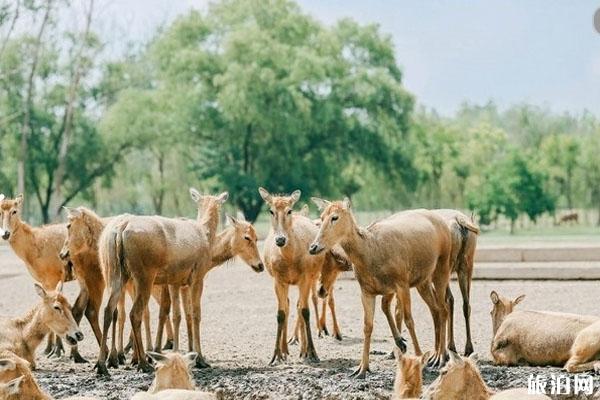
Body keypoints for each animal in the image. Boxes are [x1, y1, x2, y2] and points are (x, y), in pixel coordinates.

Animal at [96, 189, 227, 374]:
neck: (206, 235)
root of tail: (121, 228)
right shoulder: (197, 276)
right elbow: (195, 314)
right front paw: (201, 359)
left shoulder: (176, 280)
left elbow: (179, 312)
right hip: (144, 275)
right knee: (135, 313)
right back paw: (143, 363)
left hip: (115, 273)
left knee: (109, 310)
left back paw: (103, 365)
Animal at [308, 200, 452, 378]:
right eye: (321, 217)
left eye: (335, 217)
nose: (313, 247)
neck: (371, 251)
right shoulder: (367, 291)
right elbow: (368, 325)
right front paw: (361, 369)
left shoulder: (402, 283)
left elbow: (409, 320)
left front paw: (419, 358)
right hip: (422, 281)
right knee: (435, 309)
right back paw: (432, 355)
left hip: (442, 268)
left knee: (443, 308)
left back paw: (440, 357)